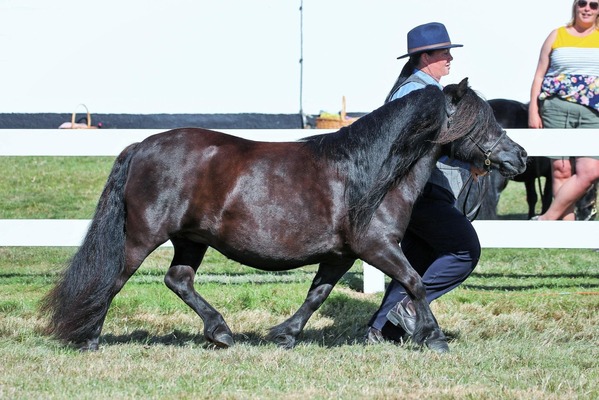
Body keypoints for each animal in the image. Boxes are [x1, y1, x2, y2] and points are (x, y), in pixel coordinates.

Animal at [42, 79, 528, 354]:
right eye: (483, 122)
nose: (520, 157)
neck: (369, 171)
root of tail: (141, 145)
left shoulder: (341, 255)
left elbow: (317, 295)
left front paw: (284, 334)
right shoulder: (377, 247)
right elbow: (415, 282)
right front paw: (435, 338)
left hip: (191, 239)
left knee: (178, 279)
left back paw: (220, 333)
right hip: (142, 237)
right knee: (114, 278)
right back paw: (88, 338)